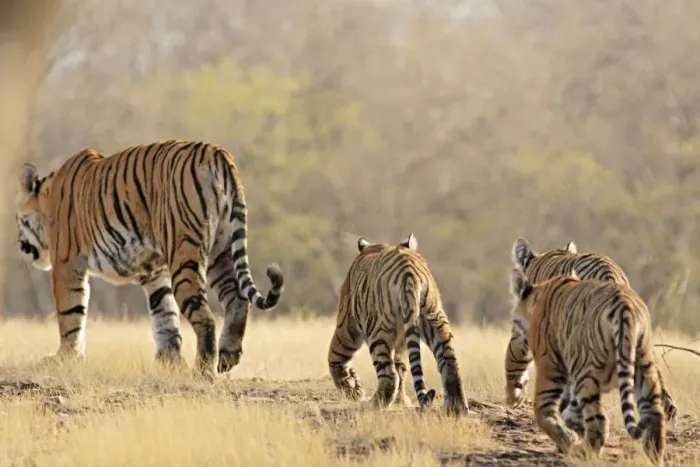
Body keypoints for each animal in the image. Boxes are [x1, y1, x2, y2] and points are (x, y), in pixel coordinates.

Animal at [15, 140, 284, 380]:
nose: (19, 245)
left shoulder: (66, 262)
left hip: (185, 254)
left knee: (205, 315)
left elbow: (70, 313)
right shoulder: (153, 271)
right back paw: (227, 357)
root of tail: (215, 152)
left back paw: (202, 372)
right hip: (222, 249)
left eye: (18, 221)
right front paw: (171, 362)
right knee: (237, 298)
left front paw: (64, 358)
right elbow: (165, 315)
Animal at [327, 233, 468, 416]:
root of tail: (409, 273)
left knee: (389, 374)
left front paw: (353, 390)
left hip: (378, 329)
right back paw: (456, 407)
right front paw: (401, 401)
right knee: (450, 362)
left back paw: (374, 403)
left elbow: (334, 357)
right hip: (434, 319)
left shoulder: (346, 325)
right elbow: (402, 367)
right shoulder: (403, 341)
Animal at [509, 268, 666, 465]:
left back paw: (582, 452)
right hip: (644, 366)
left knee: (599, 420)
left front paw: (567, 439)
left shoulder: (550, 364)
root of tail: (625, 307)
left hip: (585, 373)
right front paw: (571, 430)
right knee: (654, 414)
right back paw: (654, 458)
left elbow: (542, 409)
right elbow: (571, 409)